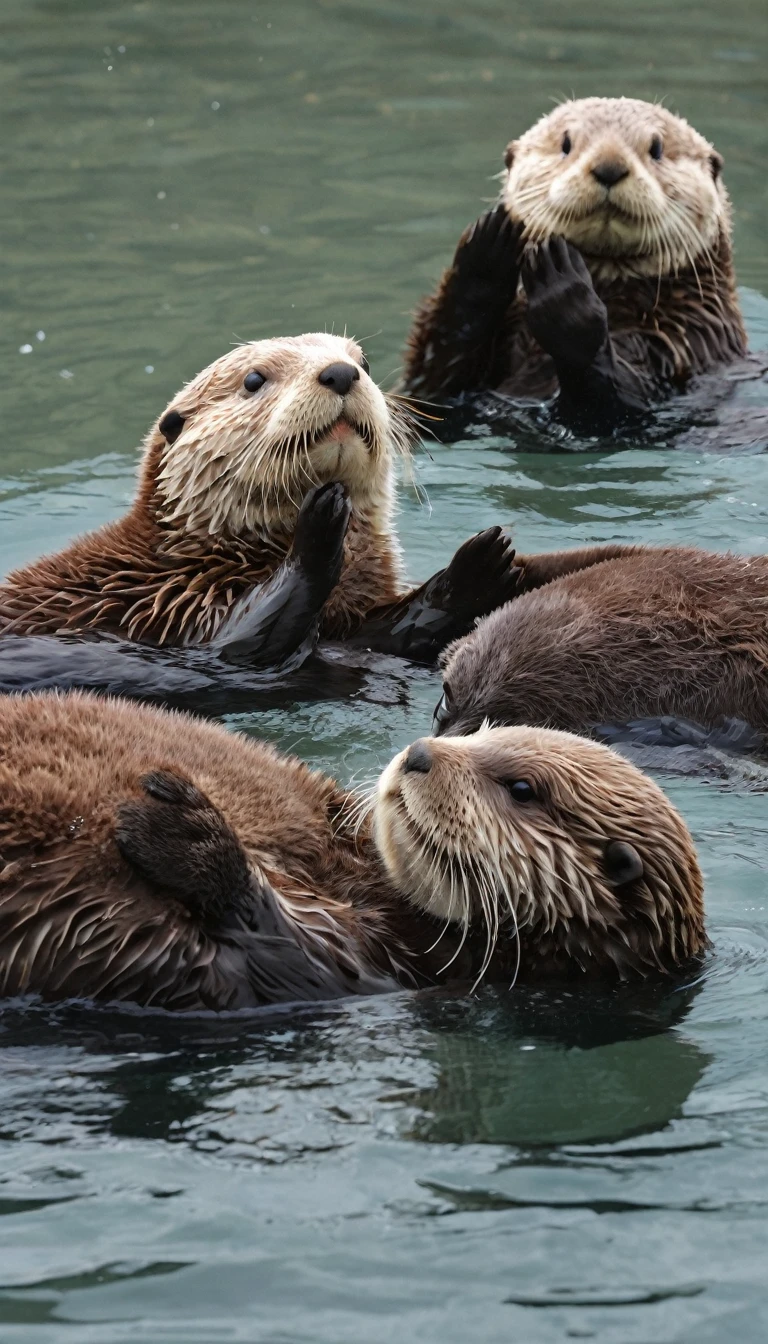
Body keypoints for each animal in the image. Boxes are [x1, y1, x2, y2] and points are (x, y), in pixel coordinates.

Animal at [0, 334, 521, 666]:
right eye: (253, 380)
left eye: (365, 362)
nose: (340, 373)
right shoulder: (178, 612)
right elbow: (247, 642)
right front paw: (321, 523)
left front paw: (479, 568)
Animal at [0, 693, 704, 1010]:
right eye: (477, 731)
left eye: (523, 788)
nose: (419, 752)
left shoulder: (388, 975)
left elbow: (282, 959)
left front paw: (183, 830)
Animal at [406, 100, 747, 435]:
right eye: (566, 144)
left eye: (657, 148)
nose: (609, 167)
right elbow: (430, 388)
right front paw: (488, 248)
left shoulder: (683, 348)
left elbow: (610, 405)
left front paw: (563, 286)